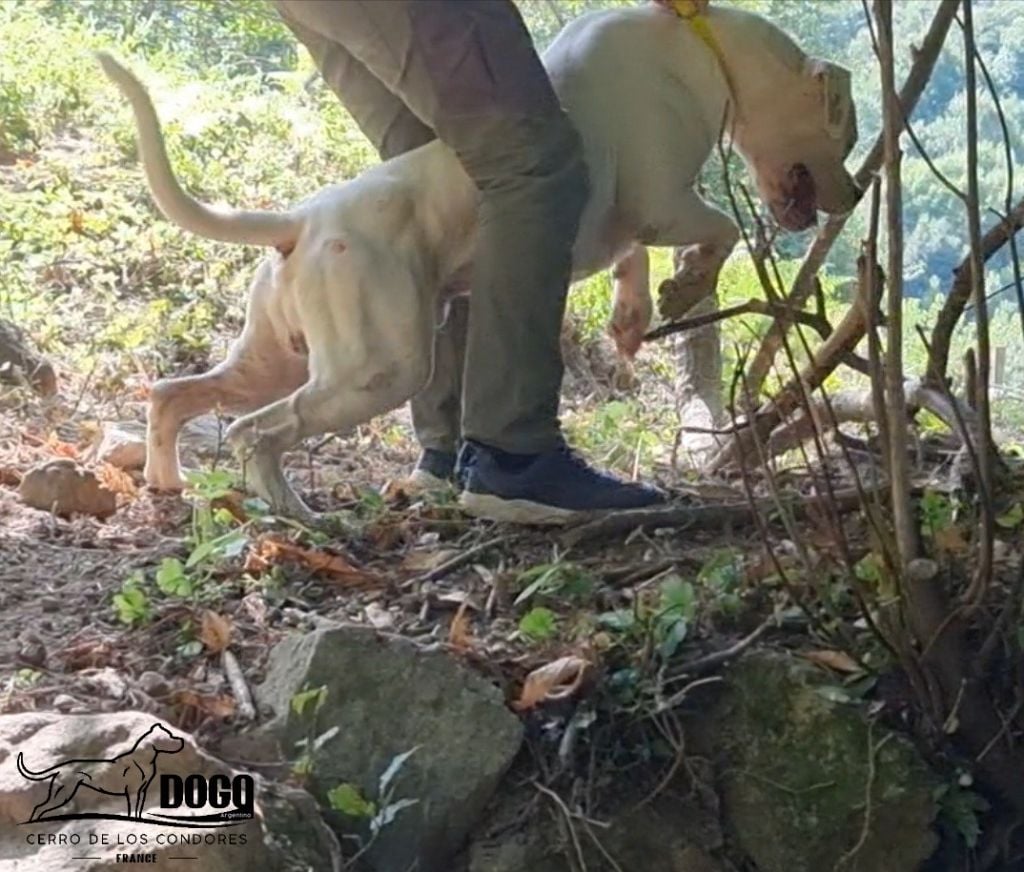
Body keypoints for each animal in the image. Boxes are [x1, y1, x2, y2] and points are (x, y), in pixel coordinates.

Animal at [17, 723, 185, 821]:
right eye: (170, 735)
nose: (182, 740)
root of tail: (60, 768)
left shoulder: (142, 791)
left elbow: (138, 810)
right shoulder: (132, 792)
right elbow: (132, 810)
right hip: (62, 795)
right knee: (40, 808)